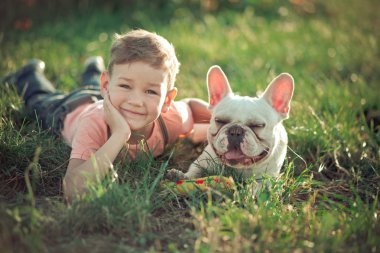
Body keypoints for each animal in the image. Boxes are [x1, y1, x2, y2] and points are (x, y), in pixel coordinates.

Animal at [166, 66, 294, 189]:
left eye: (257, 125)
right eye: (219, 121)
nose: (236, 131)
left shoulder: (267, 178)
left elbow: (258, 186)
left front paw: (249, 192)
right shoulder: (202, 162)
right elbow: (194, 170)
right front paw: (182, 176)